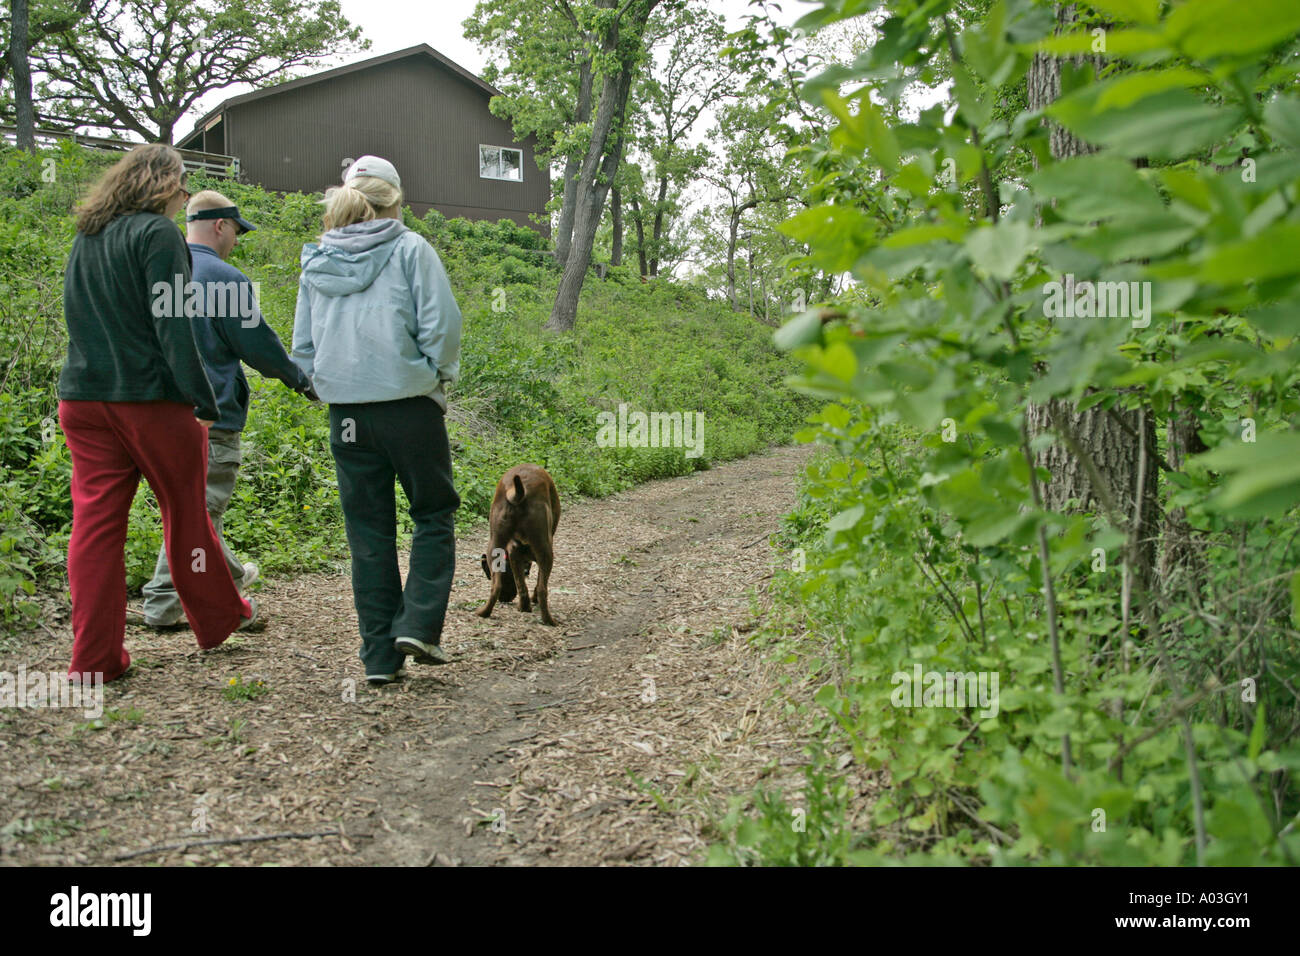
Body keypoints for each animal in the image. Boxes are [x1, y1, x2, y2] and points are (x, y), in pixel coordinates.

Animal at [478, 465, 559, 629]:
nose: (504, 599)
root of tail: (517, 494)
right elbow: (537, 581)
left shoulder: (514, 555)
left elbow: (521, 584)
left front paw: (524, 606)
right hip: (546, 552)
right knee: (543, 589)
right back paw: (548, 620)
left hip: (494, 545)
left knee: (496, 587)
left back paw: (485, 612)